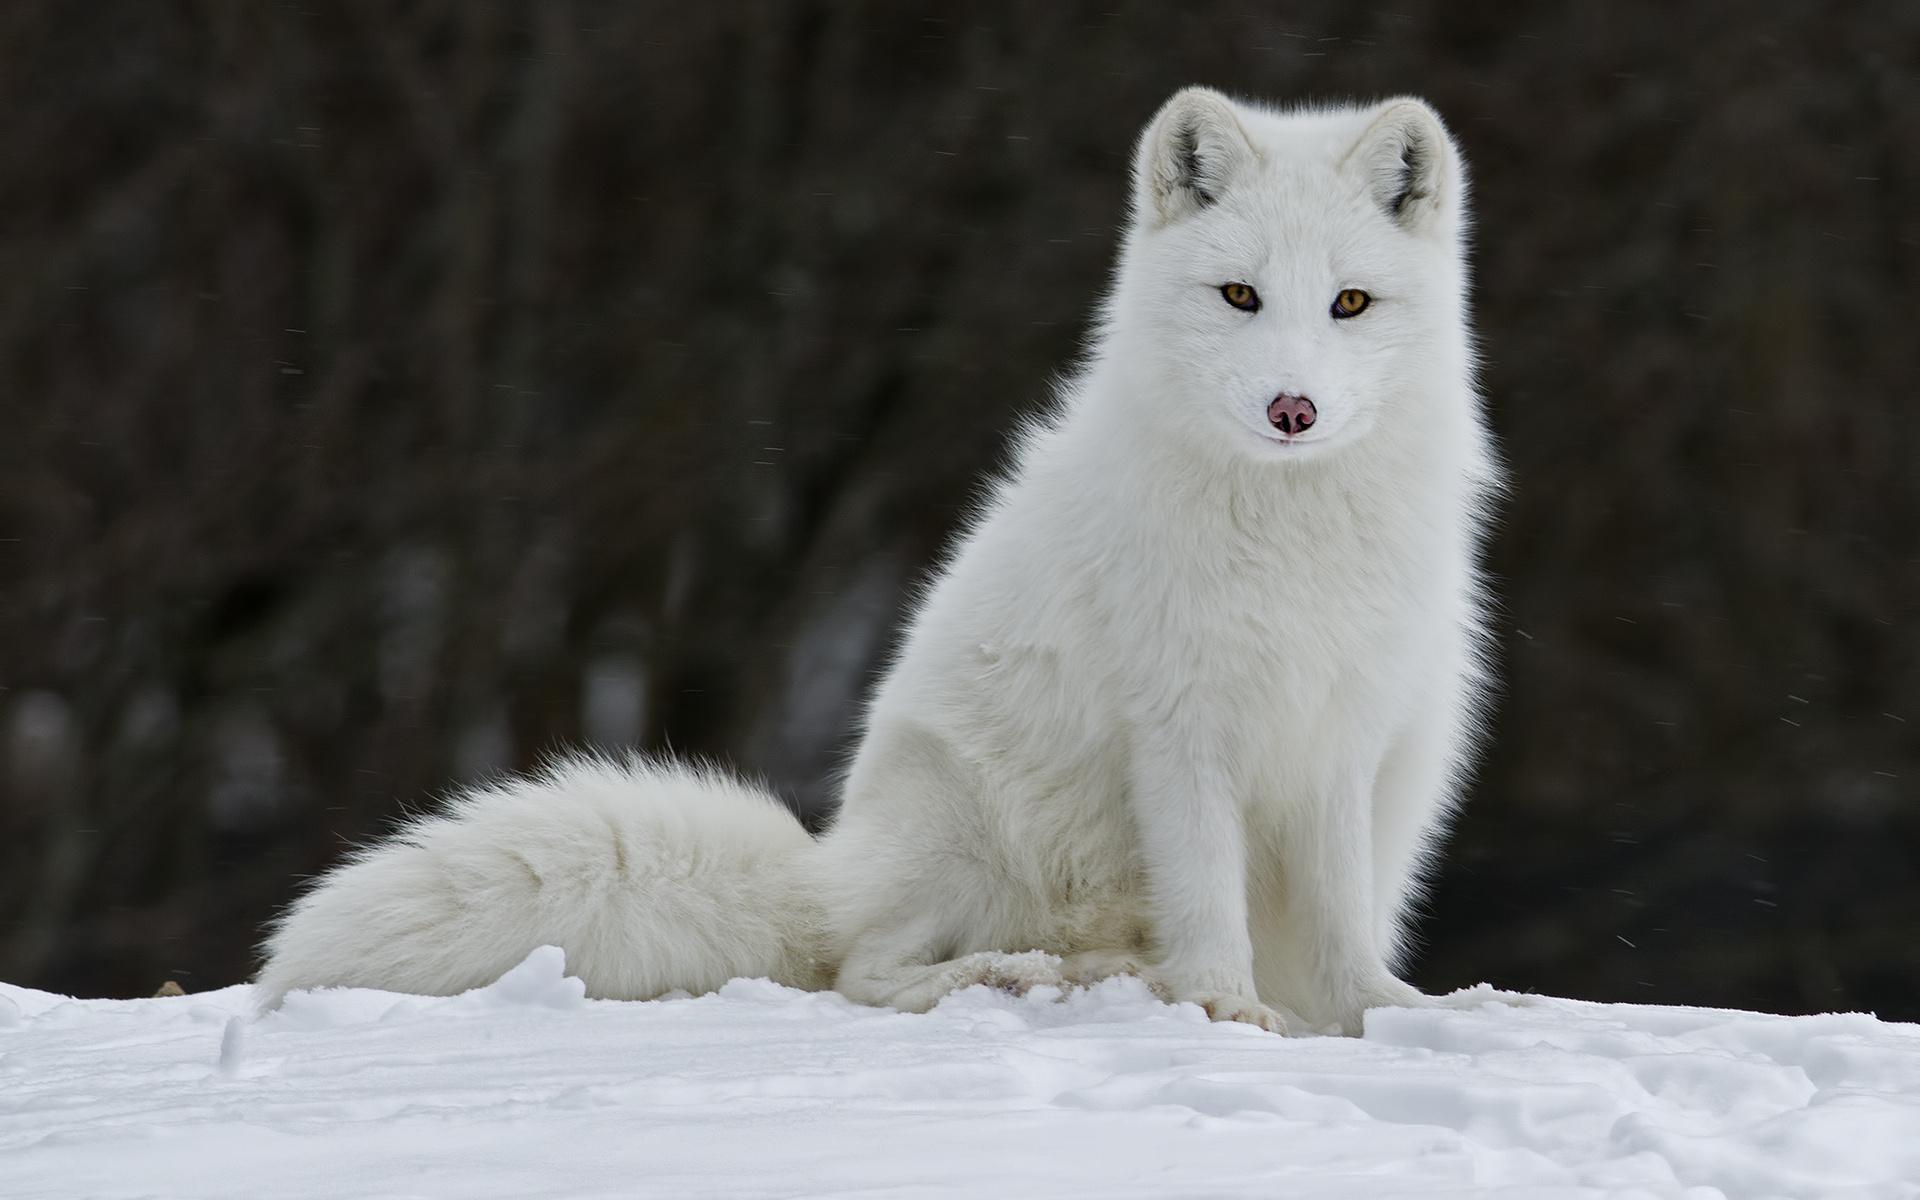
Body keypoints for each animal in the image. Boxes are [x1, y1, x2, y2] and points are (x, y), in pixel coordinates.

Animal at [258, 87, 1502, 1036]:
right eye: (1240, 294)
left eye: (1350, 302)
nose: (1292, 409)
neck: (1289, 532)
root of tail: (827, 865)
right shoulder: (1183, 734)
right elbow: (1208, 901)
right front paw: (1227, 1012)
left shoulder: (1340, 737)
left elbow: (1340, 925)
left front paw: (1383, 1015)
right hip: (962, 818)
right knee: (863, 970)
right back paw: (1026, 976)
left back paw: (1101, 973)